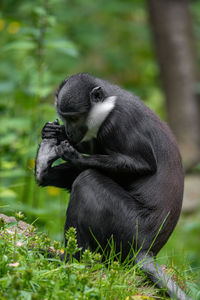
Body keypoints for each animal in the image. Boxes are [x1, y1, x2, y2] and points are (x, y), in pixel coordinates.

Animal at [35, 73, 191, 300]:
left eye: (75, 118)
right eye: (63, 117)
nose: (70, 131)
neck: (108, 104)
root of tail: (145, 250)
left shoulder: (117, 125)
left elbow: (143, 165)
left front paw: (74, 155)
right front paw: (55, 133)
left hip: (128, 227)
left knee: (87, 179)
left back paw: (71, 260)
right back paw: (43, 167)